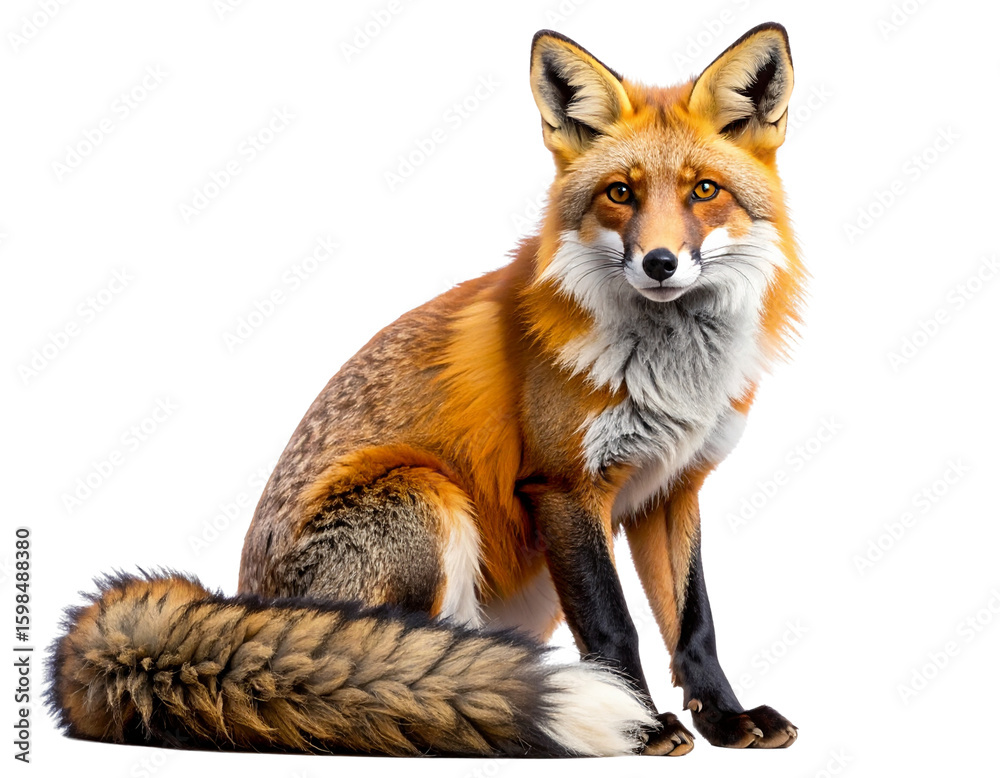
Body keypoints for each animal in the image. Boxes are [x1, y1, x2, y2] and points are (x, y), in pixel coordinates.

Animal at [48, 23, 805, 758]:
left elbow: (694, 625)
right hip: (426, 494)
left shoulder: (671, 489)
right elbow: (614, 628)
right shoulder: (564, 486)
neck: (671, 373)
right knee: (398, 676)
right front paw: (645, 728)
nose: (660, 263)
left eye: (704, 191)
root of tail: (244, 599)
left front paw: (728, 721)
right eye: (620, 193)